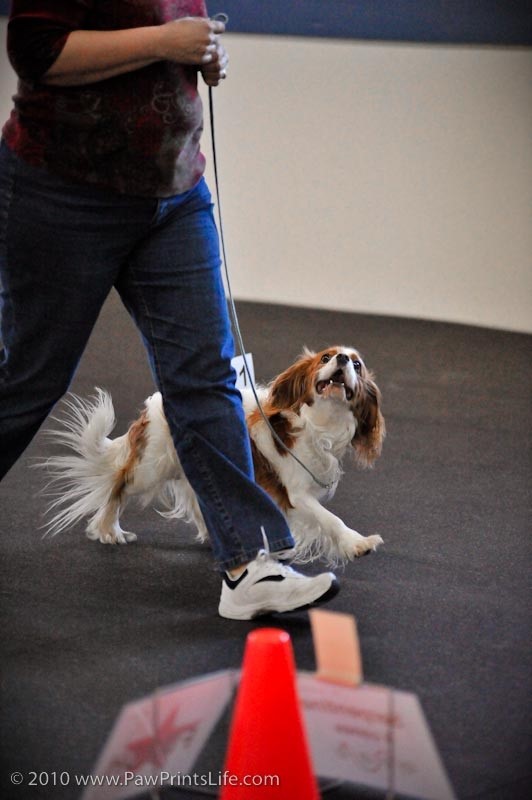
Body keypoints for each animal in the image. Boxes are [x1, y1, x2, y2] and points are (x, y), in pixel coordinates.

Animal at [42, 346, 385, 564]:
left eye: (357, 366)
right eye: (327, 357)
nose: (342, 358)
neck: (322, 424)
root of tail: (153, 405)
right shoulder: (297, 494)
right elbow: (331, 520)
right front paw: (358, 544)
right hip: (150, 469)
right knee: (118, 486)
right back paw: (108, 531)